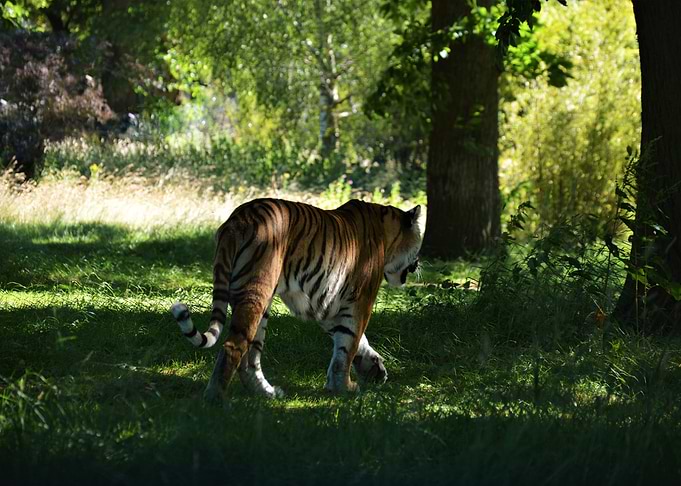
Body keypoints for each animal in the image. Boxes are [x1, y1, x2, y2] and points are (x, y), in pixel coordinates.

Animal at [171, 198, 423, 401]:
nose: (419, 262)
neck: (387, 233)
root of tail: (236, 219)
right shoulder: (360, 301)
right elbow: (348, 345)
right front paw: (344, 388)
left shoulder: (329, 306)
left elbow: (354, 341)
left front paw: (373, 369)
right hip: (256, 294)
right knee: (234, 346)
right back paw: (216, 397)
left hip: (256, 306)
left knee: (250, 357)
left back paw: (266, 393)